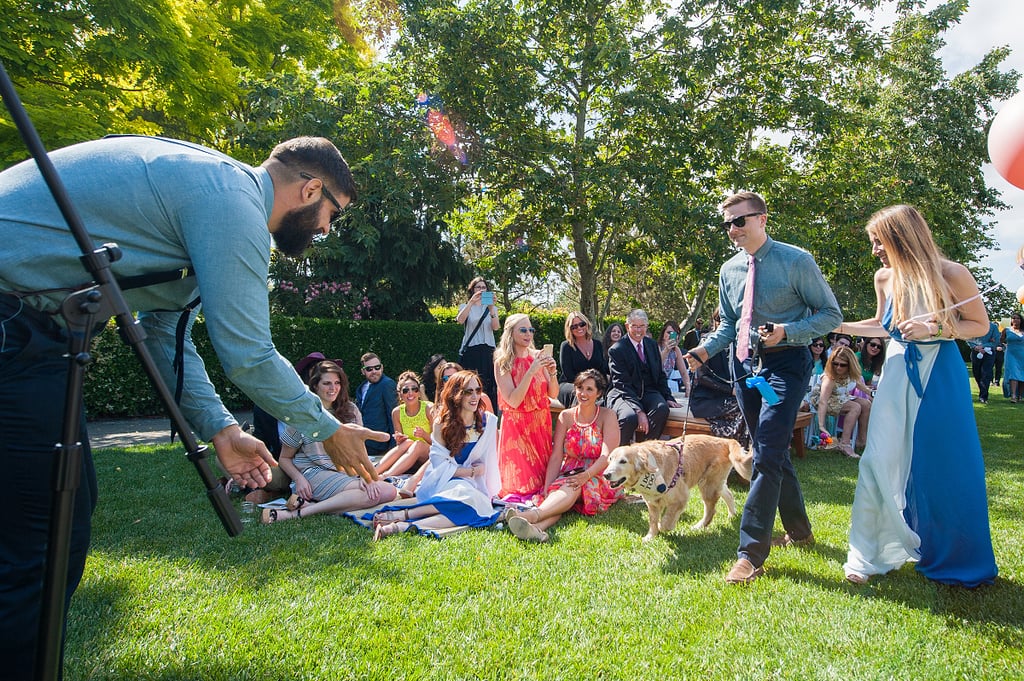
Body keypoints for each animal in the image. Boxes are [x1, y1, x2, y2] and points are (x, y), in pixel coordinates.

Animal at [598, 436, 753, 540]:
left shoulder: (680, 497)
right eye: (610, 459)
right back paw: (732, 515)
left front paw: (666, 526)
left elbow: (666, 520)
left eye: (623, 461)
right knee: (728, 494)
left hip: (708, 485)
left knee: (711, 510)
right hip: (713, 482)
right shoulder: (652, 502)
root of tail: (725, 440)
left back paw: (699, 526)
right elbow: (653, 521)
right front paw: (650, 537)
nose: (606, 474)